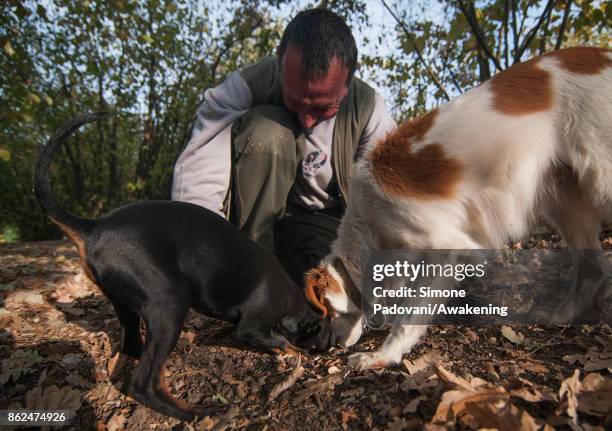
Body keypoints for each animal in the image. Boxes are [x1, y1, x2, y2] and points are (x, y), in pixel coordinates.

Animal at [33, 113, 330, 420]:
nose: (327, 351)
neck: (291, 298)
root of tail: (93, 227)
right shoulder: (251, 326)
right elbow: (280, 340)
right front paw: (295, 351)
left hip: (124, 303)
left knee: (133, 346)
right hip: (170, 302)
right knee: (142, 384)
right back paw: (195, 412)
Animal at [304, 47, 612, 372]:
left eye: (329, 313)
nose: (330, 346)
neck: (368, 222)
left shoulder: (447, 247)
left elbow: (408, 317)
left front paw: (383, 355)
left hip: (601, 178)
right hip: (564, 202)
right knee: (593, 267)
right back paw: (562, 315)